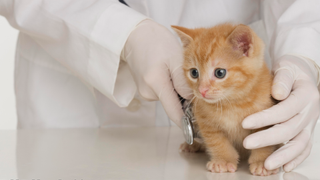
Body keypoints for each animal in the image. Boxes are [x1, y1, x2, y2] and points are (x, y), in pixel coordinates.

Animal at [172, 23, 280, 176]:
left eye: (220, 73)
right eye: (194, 72)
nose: (201, 90)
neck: (232, 103)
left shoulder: (264, 117)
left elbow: (264, 139)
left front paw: (262, 162)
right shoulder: (205, 122)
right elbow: (217, 141)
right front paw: (223, 161)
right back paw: (192, 145)